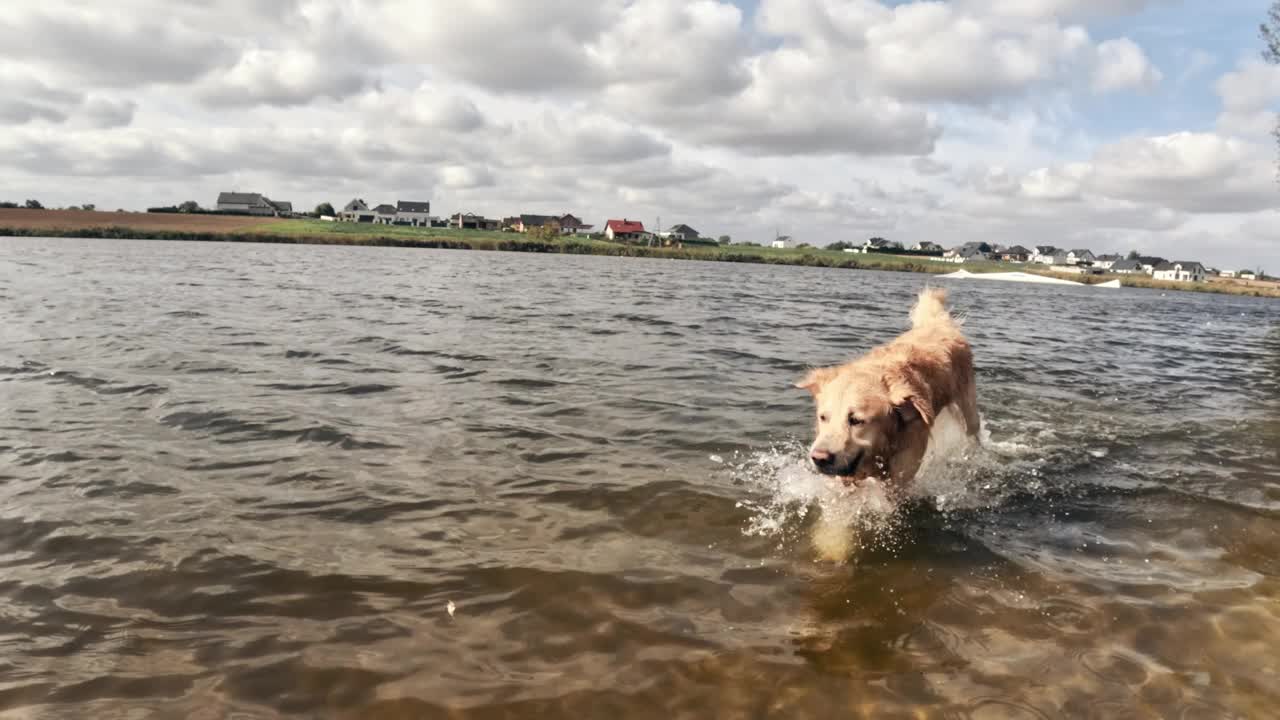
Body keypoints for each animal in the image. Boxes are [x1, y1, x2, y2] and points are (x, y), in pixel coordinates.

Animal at [793, 285, 983, 491]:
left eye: (856, 420)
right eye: (823, 418)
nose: (819, 458)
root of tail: (938, 324)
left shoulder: (903, 472)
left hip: (968, 411)